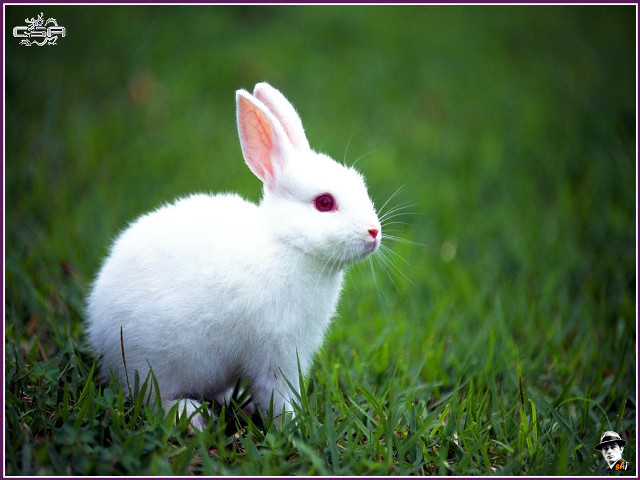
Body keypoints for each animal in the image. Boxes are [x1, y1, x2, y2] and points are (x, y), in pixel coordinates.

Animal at [86, 82, 382, 430]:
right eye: (324, 202)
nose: (374, 232)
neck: (287, 244)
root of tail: (98, 331)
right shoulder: (277, 353)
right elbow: (277, 395)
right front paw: (293, 425)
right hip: (153, 363)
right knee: (152, 398)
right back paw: (192, 417)